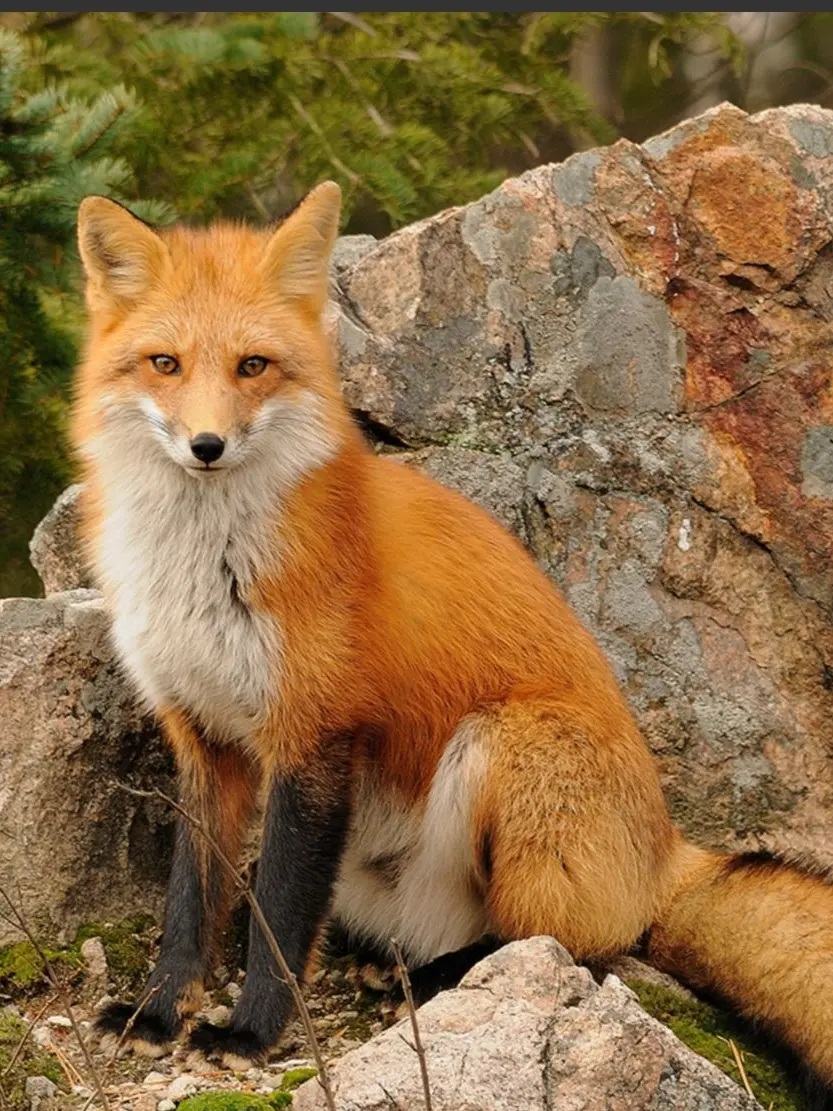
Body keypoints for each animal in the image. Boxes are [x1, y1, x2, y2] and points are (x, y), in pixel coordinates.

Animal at [71, 183, 833, 1102]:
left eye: (253, 366)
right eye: (165, 364)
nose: (206, 446)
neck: (204, 565)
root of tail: (663, 848)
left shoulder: (312, 734)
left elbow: (280, 918)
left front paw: (251, 1032)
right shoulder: (201, 735)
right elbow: (189, 900)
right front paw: (157, 1013)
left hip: (506, 744)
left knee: (567, 942)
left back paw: (446, 975)